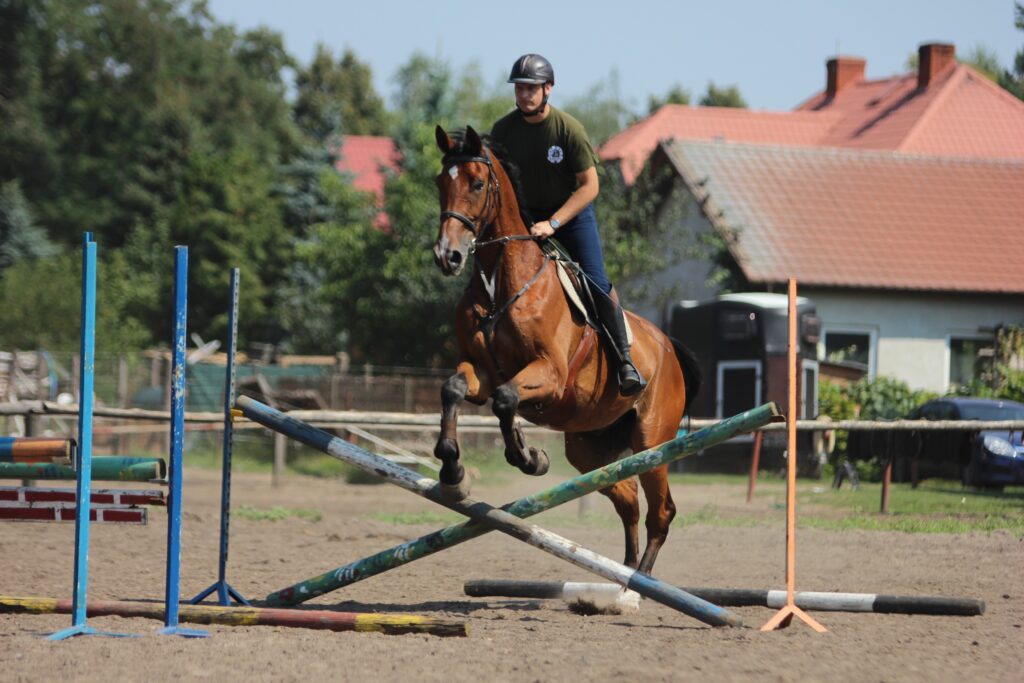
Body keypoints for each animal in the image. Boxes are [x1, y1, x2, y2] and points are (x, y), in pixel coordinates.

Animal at [431, 124, 700, 575]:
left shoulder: (550, 376)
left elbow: (505, 400)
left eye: (478, 183)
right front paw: (452, 468)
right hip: (588, 447)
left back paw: (641, 580)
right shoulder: (482, 371)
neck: (500, 284)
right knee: (627, 498)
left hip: (652, 441)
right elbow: (454, 389)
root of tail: (669, 347)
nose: (446, 256)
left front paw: (528, 456)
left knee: (660, 511)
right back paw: (622, 575)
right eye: (440, 183)